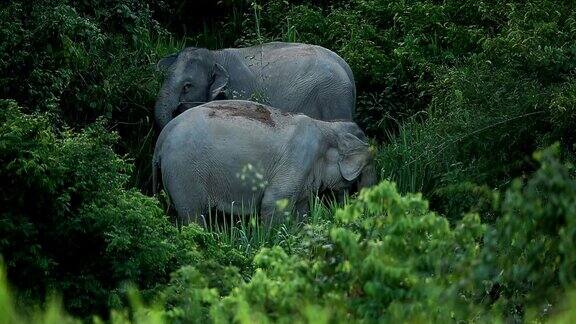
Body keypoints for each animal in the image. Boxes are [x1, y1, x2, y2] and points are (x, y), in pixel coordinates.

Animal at [152, 41, 356, 129]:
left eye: (187, 86)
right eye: (165, 76)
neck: (215, 54)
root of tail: (348, 70)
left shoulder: (240, 90)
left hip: (333, 98)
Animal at [152, 100, 378, 227]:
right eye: (364, 171)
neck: (327, 126)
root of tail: (161, 139)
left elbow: (301, 209)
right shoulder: (298, 157)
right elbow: (273, 202)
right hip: (185, 173)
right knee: (193, 217)